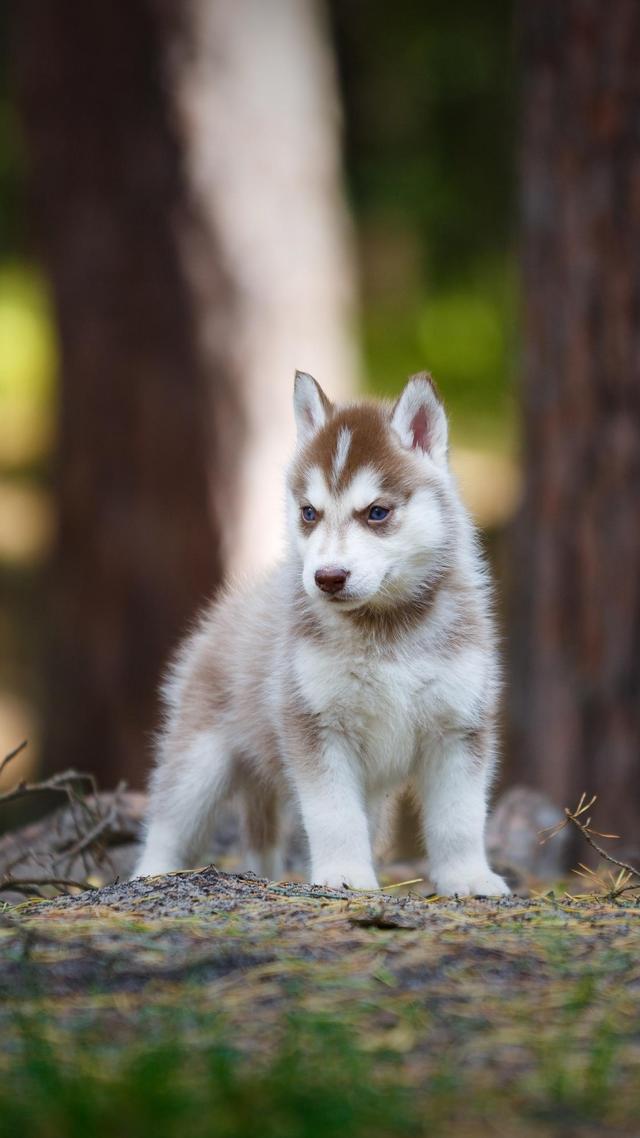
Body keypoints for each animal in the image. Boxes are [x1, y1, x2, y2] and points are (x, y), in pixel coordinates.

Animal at [134, 373, 507, 896]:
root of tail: (229, 608)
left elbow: (460, 817)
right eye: (309, 513)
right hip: (198, 762)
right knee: (169, 825)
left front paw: (469, 878)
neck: (385, 631)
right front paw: (345, 876)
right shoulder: (315, 725)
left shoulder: (460, 726)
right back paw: (149, 875)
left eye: (377, 512)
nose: (327, 577)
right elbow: (334, 815)